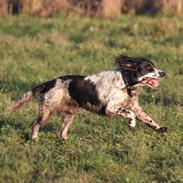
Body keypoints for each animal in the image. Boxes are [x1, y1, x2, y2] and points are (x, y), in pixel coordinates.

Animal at [6, 54, 167, 140]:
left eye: (154, 66)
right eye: (148, 68)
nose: (163, 73)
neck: (125, 83)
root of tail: (49, 82)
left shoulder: (135, 107)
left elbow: (148, 119)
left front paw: (160, 128)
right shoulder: (110, 108)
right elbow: (131, 114)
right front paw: (132, 124)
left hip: (70, 114)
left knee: (61, 131)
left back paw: (66, 140)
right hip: (47, 111)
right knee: (35, 124)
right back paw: (34, 139)